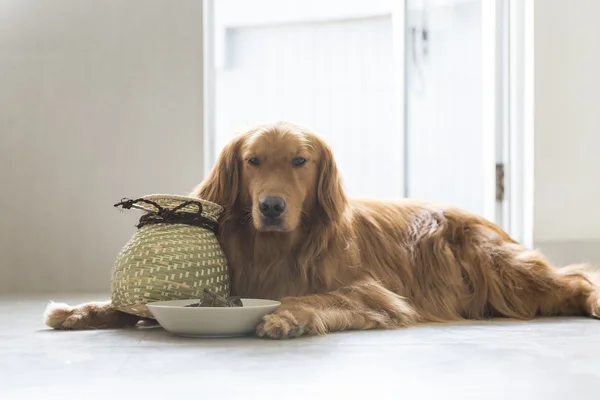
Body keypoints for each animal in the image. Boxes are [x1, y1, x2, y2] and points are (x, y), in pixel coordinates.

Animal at [47, 121, 600, 338]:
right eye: (252, 161)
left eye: (299, 161)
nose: (271, 206)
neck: (274, 250)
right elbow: (126, 307)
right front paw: (81, 310)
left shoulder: (374, 293)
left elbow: (312, 296)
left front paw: (286, 315)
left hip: (505, 271)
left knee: (575, 278)